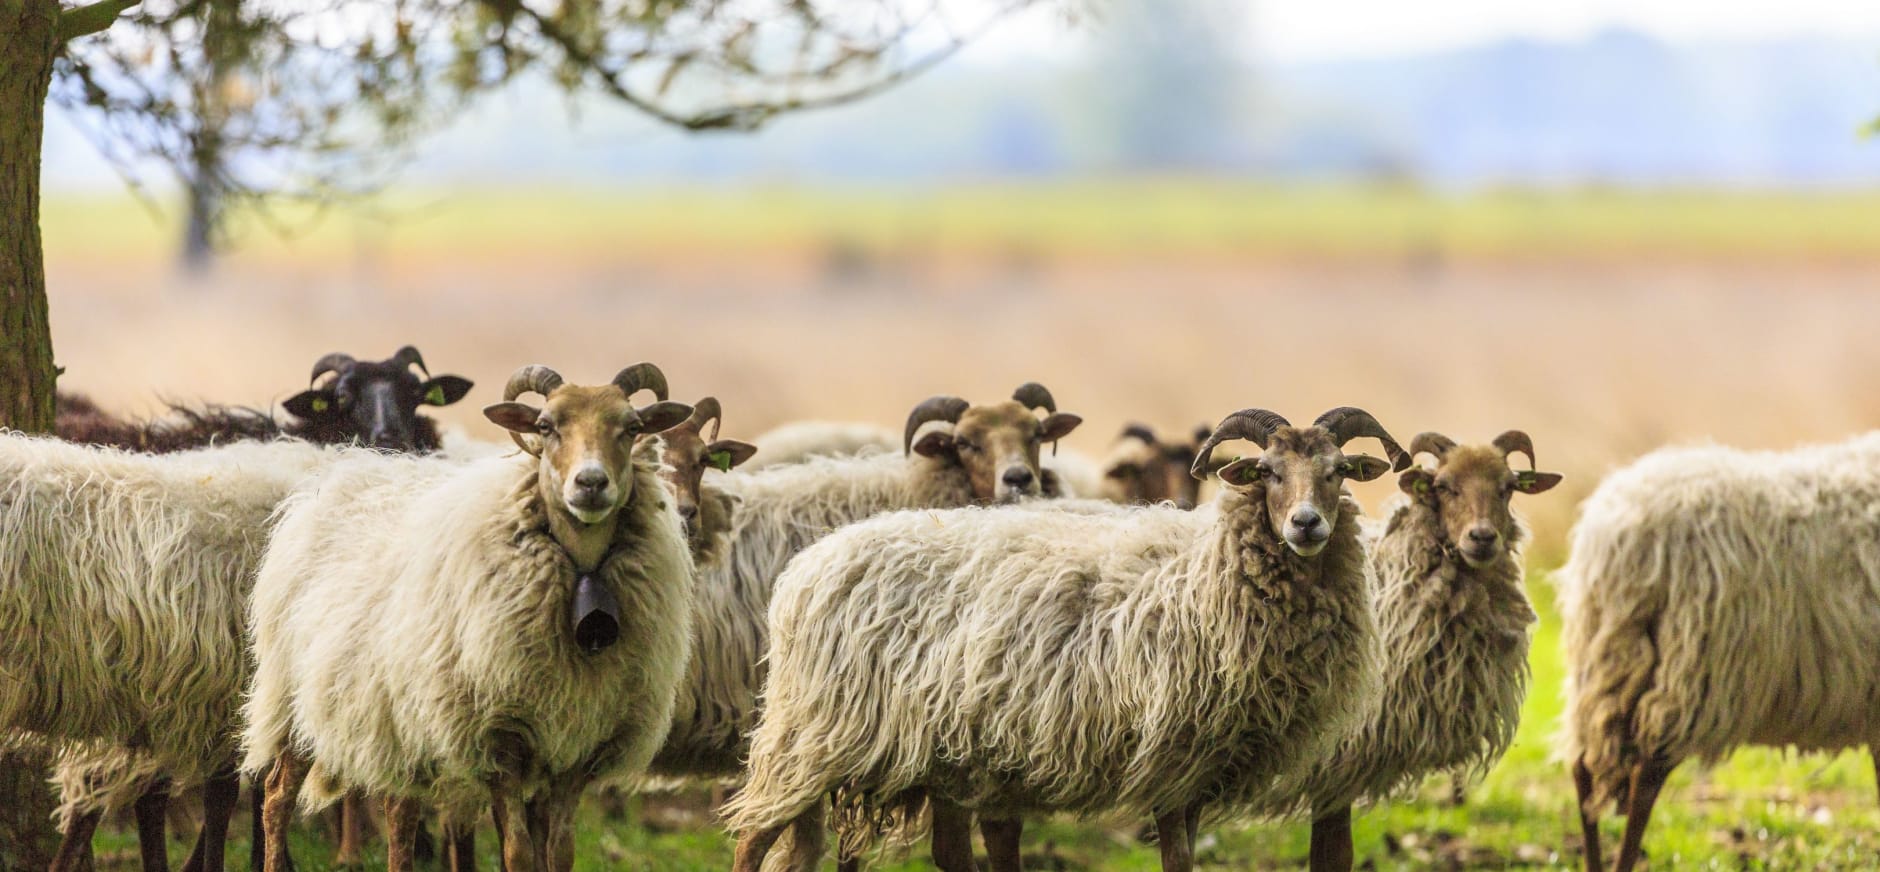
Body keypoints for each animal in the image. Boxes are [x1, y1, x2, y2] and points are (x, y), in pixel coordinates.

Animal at [240, 364, 699, 872]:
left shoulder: (579, 751)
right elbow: (518, 852)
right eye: (546, 426)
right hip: (292, 698)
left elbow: (560, 852)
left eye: (632, 427)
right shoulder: (497, 739)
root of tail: (340, 476)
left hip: (395, 717)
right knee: (277, 795)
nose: (591, 484)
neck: (580, 573)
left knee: (399, 809)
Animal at [721, 407, 1413, 872]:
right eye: (1266, 472)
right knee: (753, 838)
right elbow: (1179, 860)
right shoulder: (1174, 756)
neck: (1204, 570)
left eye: (1339, 472)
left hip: (921, 750)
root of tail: (806, 568)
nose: (1306, 524)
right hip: (809, 732)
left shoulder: (1202, 762)